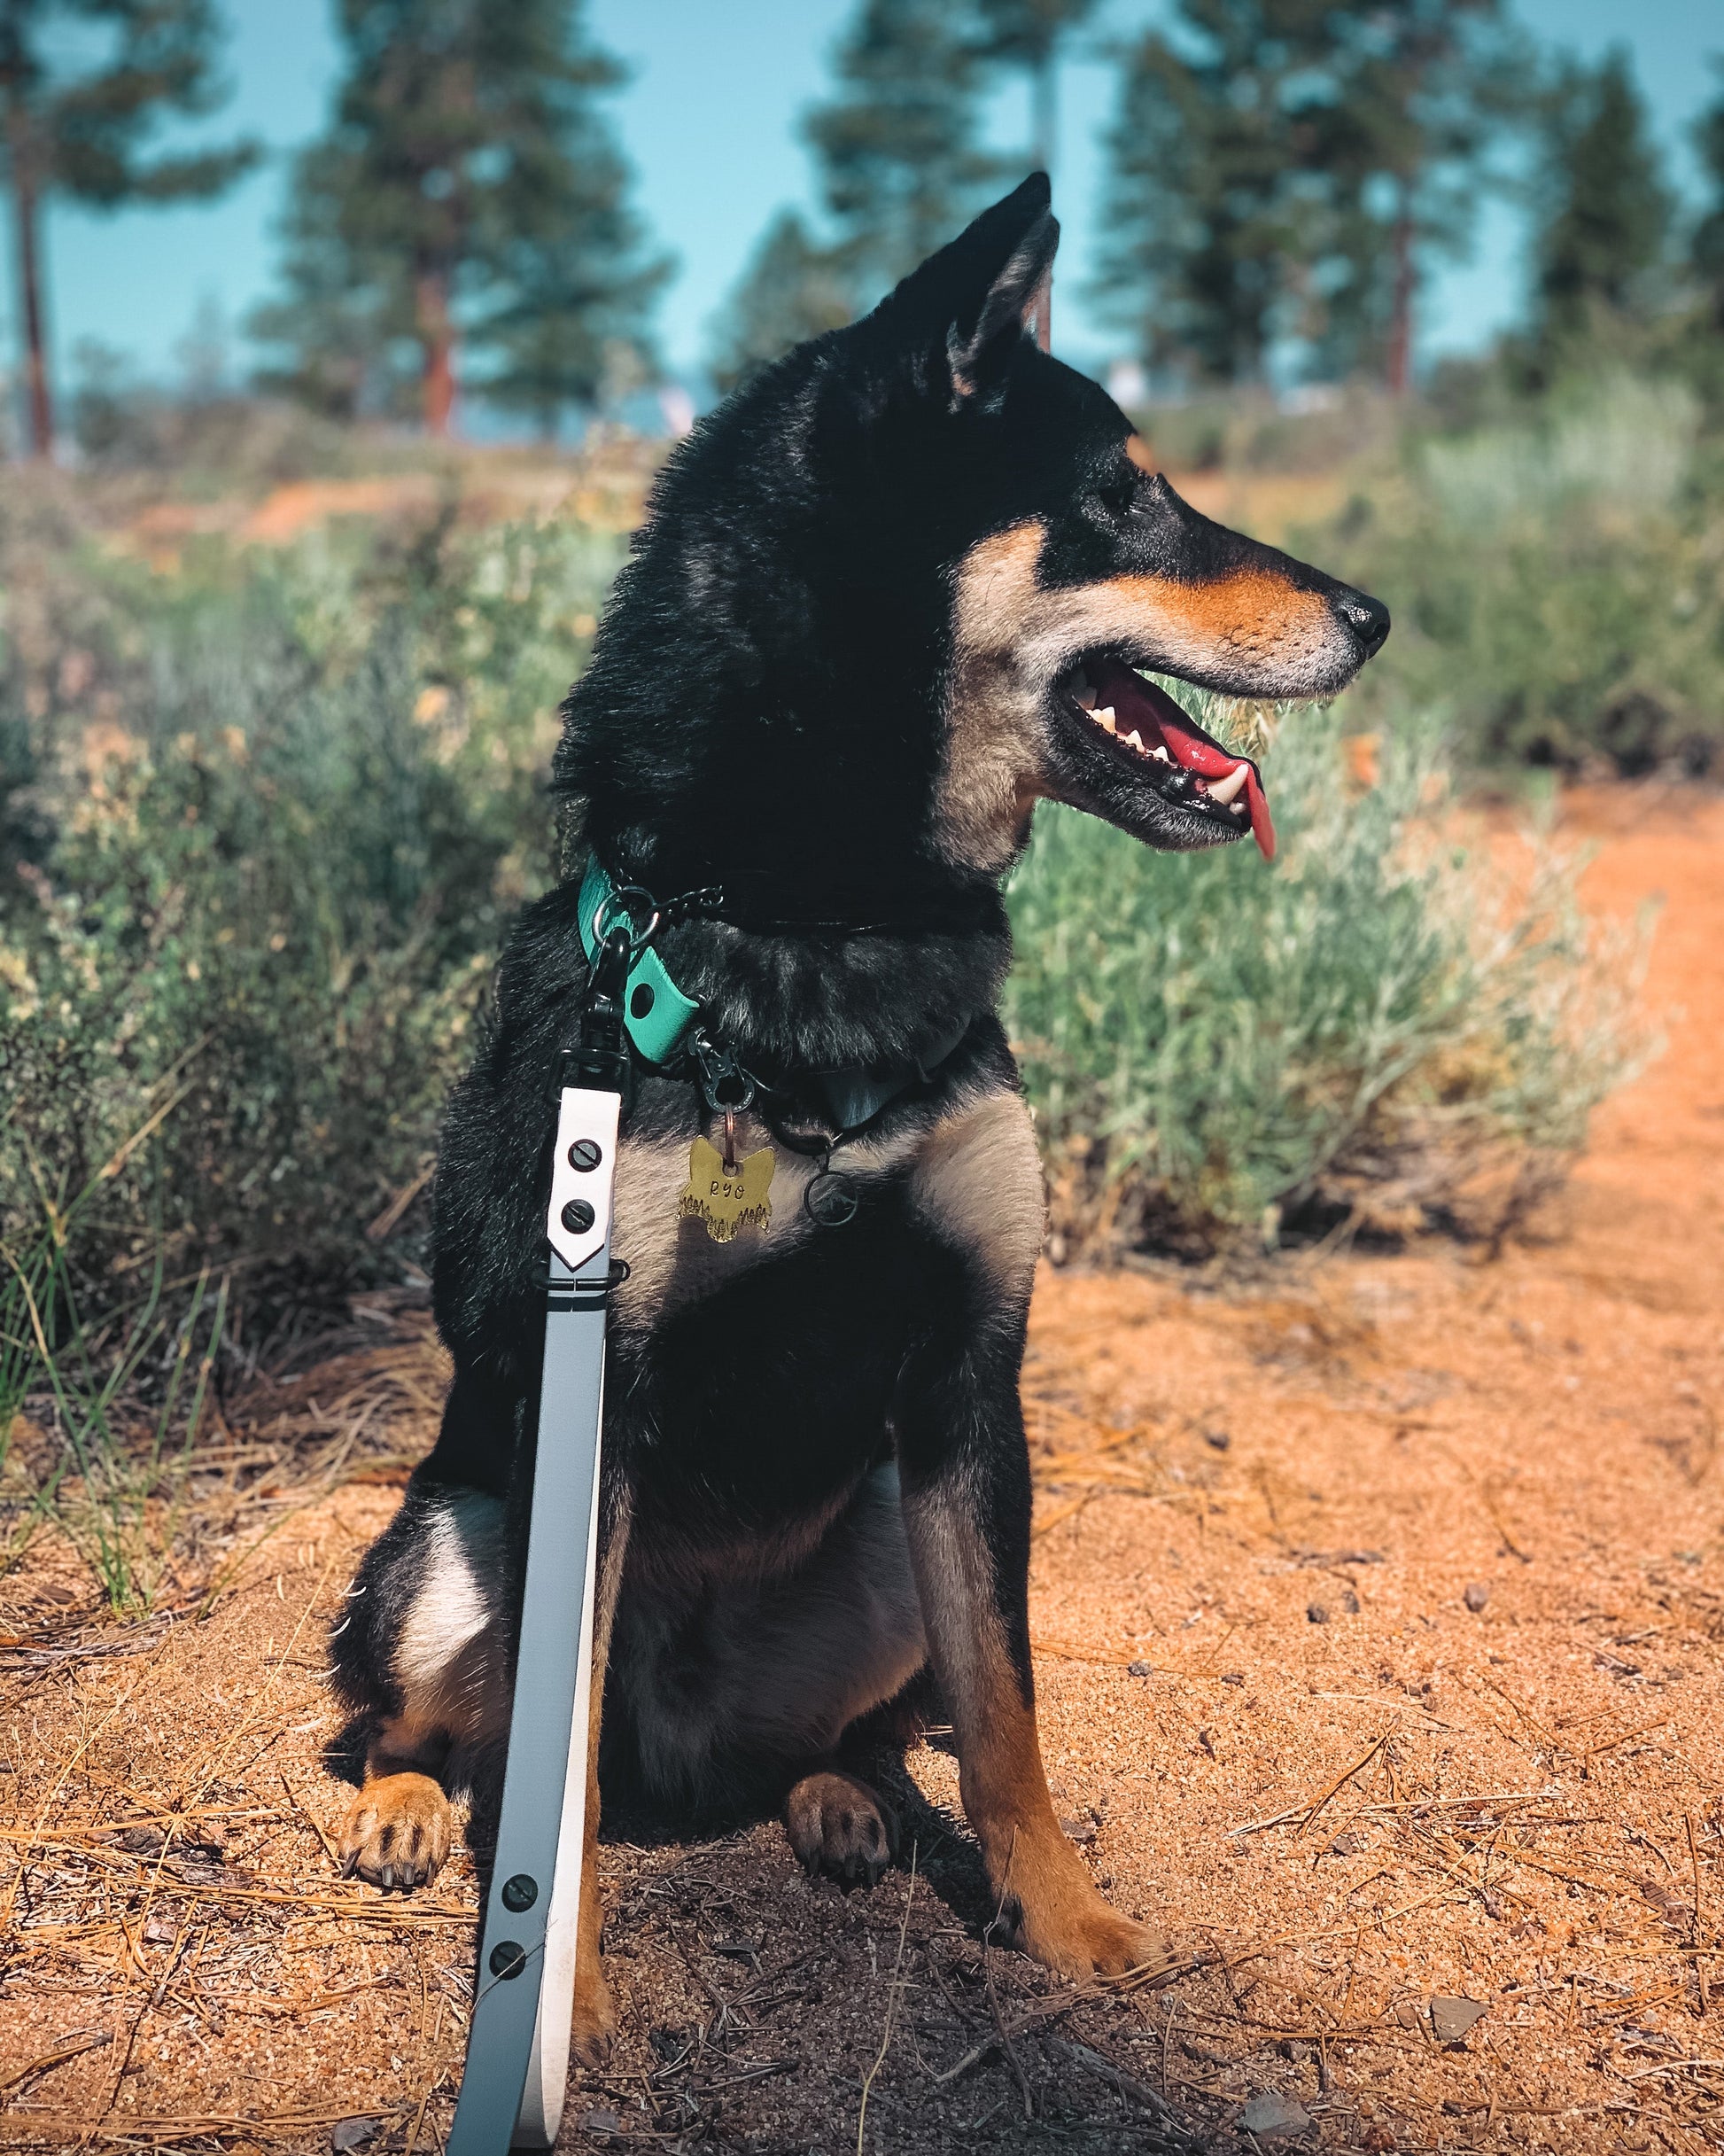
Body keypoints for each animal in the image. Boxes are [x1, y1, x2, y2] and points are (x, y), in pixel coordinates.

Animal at [334, 172, 1387, 2052]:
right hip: (453, 1540)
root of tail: (691, 1715)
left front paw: (1068, 1923)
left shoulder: (971, 1368)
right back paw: (401, 1805)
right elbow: (551, 1771)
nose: (1374, 613)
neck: (822, 921)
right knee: (447, 1723)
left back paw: (836, 1796)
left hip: (887, 1532)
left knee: (873, 1722)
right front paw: (560, 1987)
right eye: (1123, 497)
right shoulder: (598, 1392)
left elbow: (1009, 1714)